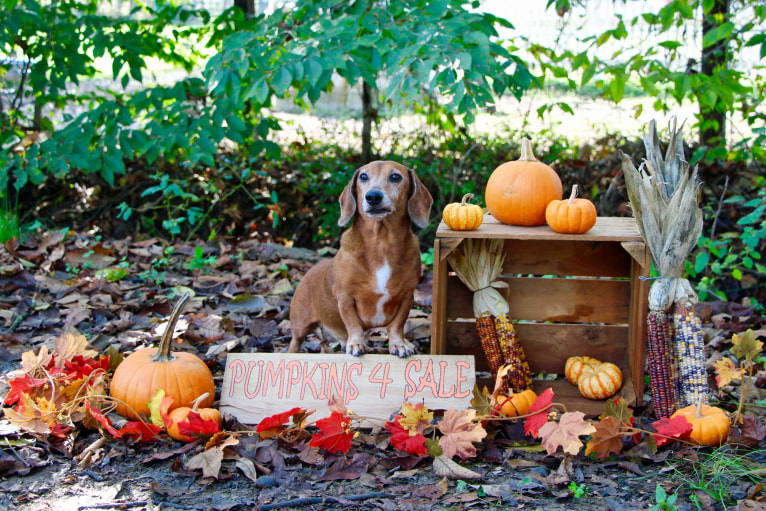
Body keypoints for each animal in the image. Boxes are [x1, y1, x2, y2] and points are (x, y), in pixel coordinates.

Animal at [288, 162, 432, 358]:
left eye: (395, 177)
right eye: (363, 176)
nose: (373, 197)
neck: (381, 243)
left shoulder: (407, 296)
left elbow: (397, 325)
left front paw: (399, 344)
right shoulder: (345, 297)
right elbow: (352, 323)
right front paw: (356, 343)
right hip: (300, 325)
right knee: (295, 342)